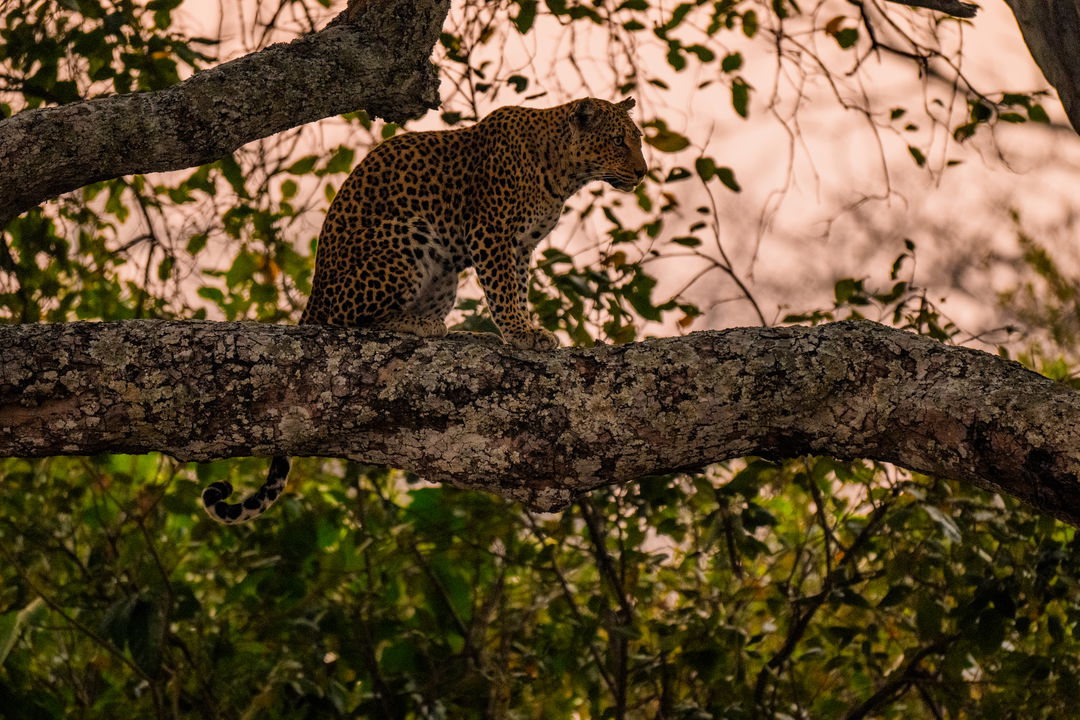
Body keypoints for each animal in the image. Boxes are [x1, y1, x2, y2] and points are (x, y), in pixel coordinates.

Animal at [199, 95, 643, 524]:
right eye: (619, 141)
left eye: (636, 140)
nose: (642, 173)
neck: (563, 170)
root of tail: (315, 294)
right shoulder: (491, 234)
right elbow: (503, 292)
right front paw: (523, 333)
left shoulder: (520, 247)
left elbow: (516, 288)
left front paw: (521, 329)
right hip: (405, 238)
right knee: (357, 323)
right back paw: (422, 325)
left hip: (443, 275)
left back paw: (460, 332)